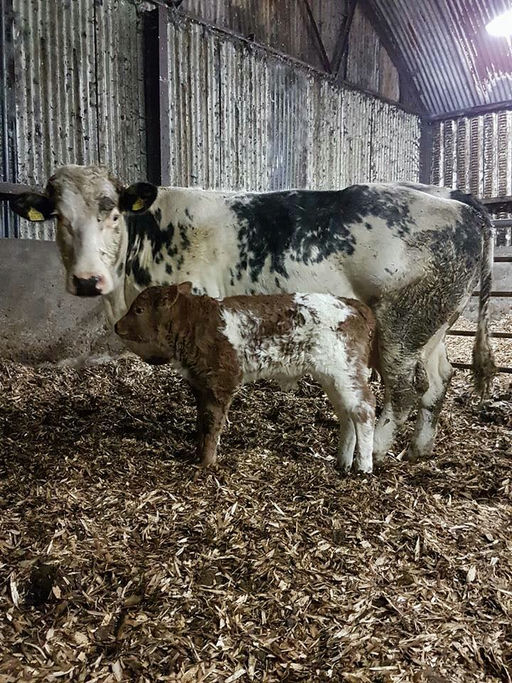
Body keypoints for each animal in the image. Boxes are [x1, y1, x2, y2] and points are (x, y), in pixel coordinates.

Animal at [114, 283, 377, 473]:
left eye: (138, 310)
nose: (116, 326)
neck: (194, 324)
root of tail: (352, 304)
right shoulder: (201, 383)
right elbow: (202, 420)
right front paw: (198, 454)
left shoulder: (222, 380)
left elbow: (212, 423)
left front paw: (206, 463)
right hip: (332, 376)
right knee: (346, 413)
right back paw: (342, 462)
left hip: (346, 370)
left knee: (364, 408)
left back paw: (363, 467)